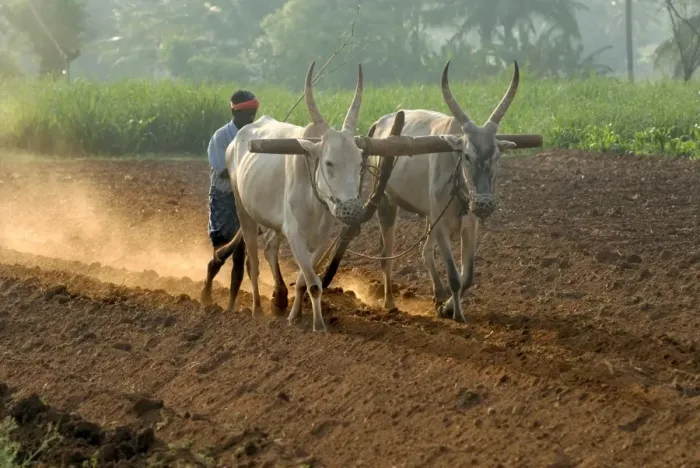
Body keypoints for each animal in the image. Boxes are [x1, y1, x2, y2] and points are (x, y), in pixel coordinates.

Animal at [364, 60, 520, 323]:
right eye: (467, 156)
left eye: (497, 156)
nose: (484, 204)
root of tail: (380, 125)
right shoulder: (442, 227)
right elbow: (455, 277)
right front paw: (456, 314)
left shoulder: (470, 227)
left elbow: (467, 276)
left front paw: (446, 306)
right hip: (386, 202)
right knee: (386, 255)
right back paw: (389, 302)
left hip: (428, 214)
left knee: (425, 252)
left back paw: (437, 294)